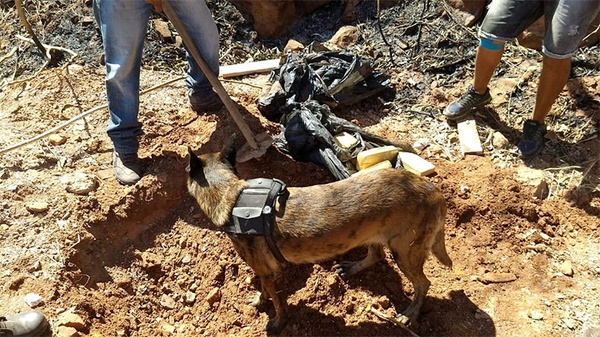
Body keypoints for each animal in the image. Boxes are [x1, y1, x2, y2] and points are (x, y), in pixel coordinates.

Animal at [186, 137, 450, 334]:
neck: (231, 196)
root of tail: (435, 192)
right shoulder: (267, 271)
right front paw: (262, 303)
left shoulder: (268, 272)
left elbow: (274, 299)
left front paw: (275, 319)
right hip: (376, 234)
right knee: (376, 255)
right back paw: (352, 268)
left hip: (405, 251)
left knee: (423, 283)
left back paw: (411, 314)